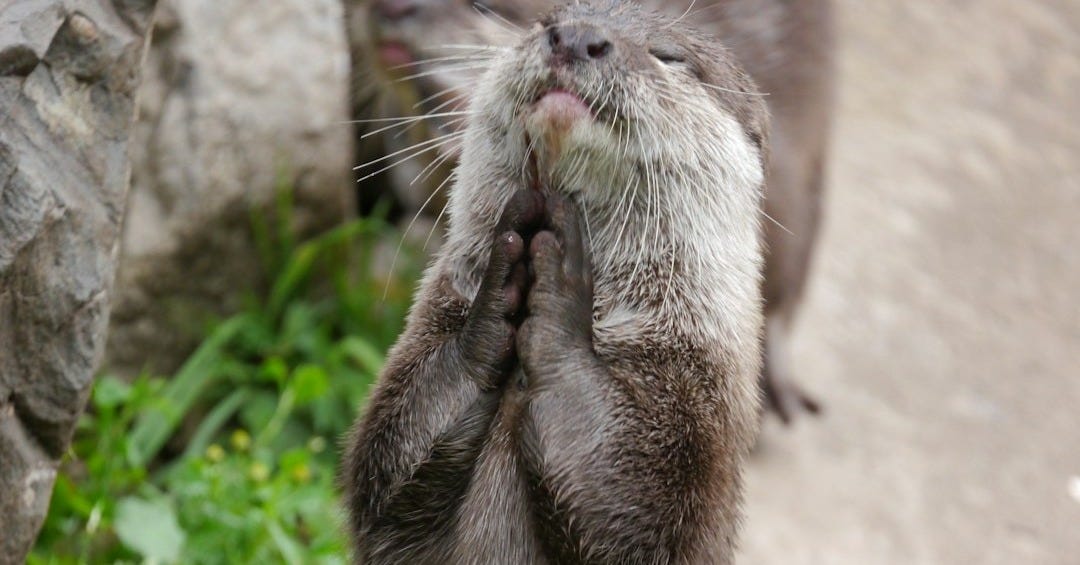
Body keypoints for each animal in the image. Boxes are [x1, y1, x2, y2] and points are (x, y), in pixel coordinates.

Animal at [343, 1, 768, 562]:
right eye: (546, 21)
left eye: (669, 56)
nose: (576, 37)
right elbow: (381, 468)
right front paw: (499, 286)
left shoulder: (698, 419)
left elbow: (636, 511)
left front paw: (560, 281)